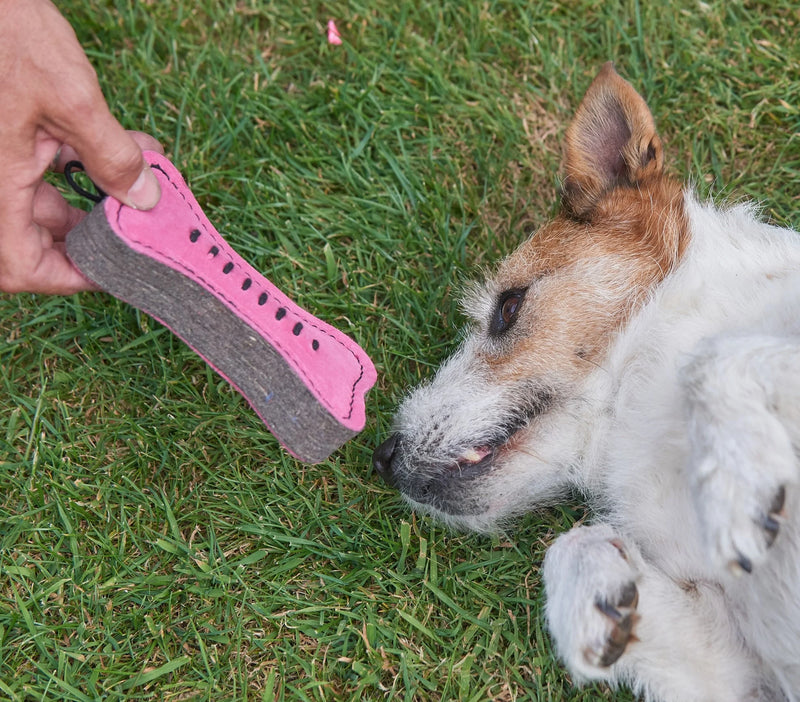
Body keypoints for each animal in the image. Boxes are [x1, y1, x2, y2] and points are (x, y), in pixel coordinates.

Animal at [374, 63, 800, 700]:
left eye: (508, 307)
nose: (383, 456)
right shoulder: (740, 675)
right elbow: (568, 545)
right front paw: (599, 598)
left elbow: (711, 357)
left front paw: (737, 485)